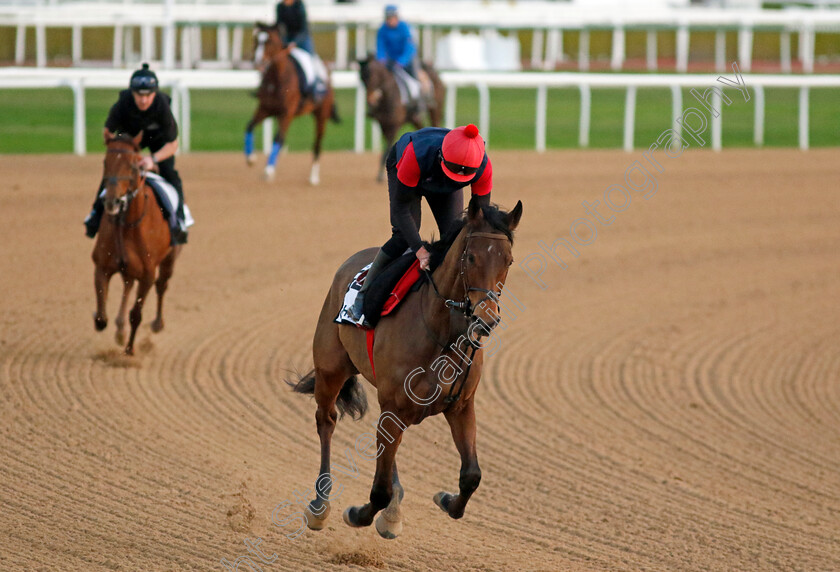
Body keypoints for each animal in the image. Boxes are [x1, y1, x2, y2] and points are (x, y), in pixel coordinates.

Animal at [92, 134, 181, 356]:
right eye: (105, 162)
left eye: (132, 165)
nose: (112, 202)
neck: (127, 224)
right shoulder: (101, 266)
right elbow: (101, 317)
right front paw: (111, 326)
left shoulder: (147, 274)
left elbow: (136, 314)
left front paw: (129, 350)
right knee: (127, 284)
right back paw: (120, 328)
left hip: (170, 258)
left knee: (162, 285)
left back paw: (157, 323)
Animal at [246, 21, 338, 183]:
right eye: (256, 40)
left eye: (270, 41)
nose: (257, 62)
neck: (277, 79)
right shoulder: (265, 109)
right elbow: (249, 126)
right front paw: (251, 158)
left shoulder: (286, 113)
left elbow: (278, 138)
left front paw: (268, 170)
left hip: (321, 114)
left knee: (317, 143)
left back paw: (313, 177)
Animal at [292, 198, 520, 540]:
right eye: (471, 257)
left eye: (508, 260)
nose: (486, 318)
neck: (443, 333)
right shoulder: (395, 407)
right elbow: (379, 491)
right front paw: (358, 514)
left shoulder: (460, 406)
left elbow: (471, 476)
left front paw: (445, 499)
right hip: (331, 368)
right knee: (326, 420)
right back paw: (320, 505)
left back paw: (392, 509)